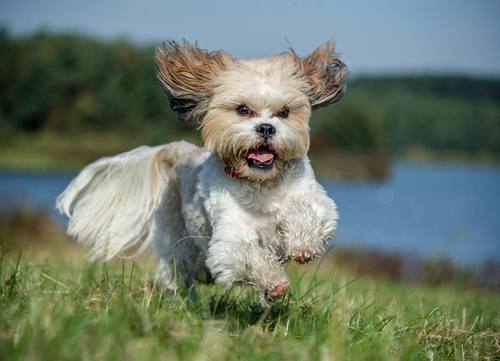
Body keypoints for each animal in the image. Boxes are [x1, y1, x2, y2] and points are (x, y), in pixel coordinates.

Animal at [56, 40, 348, 304]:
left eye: (284, 112)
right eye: (243, 109)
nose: (266, 127)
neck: (260, 182)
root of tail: (183, 151)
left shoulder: (310, 196)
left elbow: (309, 211)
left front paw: (302, 245)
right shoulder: (230, 234)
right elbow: (246, 255)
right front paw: (273, 282)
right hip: (177, 239)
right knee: (177, 269)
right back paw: (180, 300)